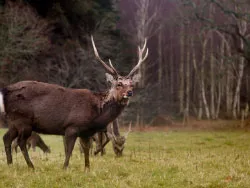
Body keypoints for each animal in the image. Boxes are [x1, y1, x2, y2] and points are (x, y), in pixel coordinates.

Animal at [0, 35, 148, 170]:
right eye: (119, 84)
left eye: (132, 84)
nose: (129, 92)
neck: (96, 113)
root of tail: (6, 90)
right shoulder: (72, 126)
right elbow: (69, 150)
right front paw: (65, 167)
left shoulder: (86, 132)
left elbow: (86, 149)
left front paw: (87, 168)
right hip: (23, 120)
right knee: (20, 141)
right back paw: (31, 166)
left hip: (14, 121)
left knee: (6, 138)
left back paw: (10, 164)